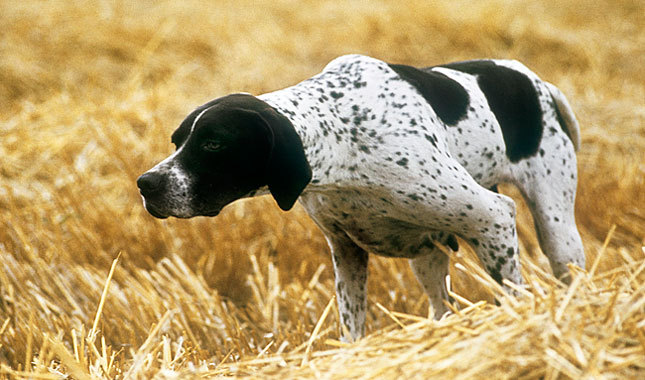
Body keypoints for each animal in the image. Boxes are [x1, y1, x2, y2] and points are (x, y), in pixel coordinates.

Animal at [138, 55, 588, 340]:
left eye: (213, 144)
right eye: (177, 141)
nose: (146, 184)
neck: (343, 138)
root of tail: (534, 80)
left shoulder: (491, 217)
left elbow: (511, 294)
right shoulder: (346, 250)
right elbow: (352, 327)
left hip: (557, 232)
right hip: (427, 254)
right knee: (440, 304)